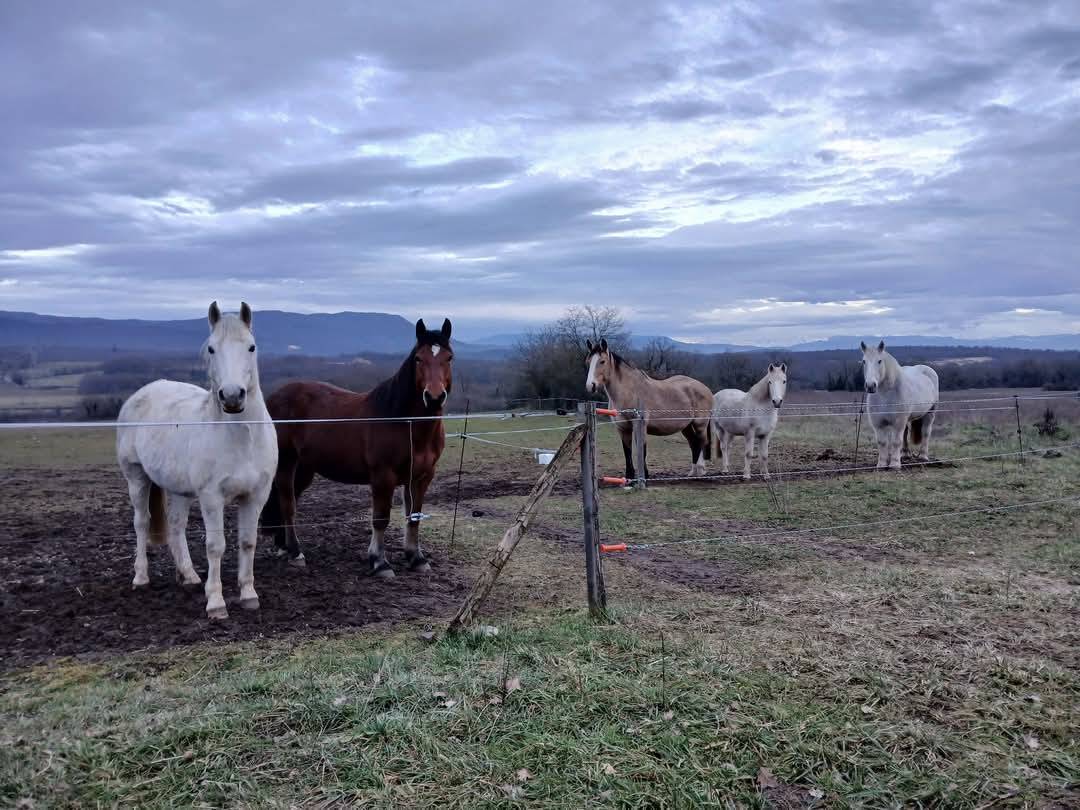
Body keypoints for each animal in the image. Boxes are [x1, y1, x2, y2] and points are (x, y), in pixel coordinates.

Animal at [116, 302, 278, 620]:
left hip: (179, 490)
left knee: (176, 525)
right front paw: (216, 603)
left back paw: (189, 576)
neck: (241, 438)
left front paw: (248, 595)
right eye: (212, 349)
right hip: (136, 478)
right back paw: (141, 578)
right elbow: (216, 546)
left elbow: (247, 542)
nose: (232, 396)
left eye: (251, 347)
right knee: (141, 522)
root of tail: (142, 393)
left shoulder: (255, 496)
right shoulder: (211, 497)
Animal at [261, 318, 452, 577]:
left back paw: (283, 546)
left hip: (304, 468)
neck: (404, 422)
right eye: (418, 359)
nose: (433, 397)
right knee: (287, 503)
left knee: (287, 501)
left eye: (449, 357)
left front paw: (416, 558)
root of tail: (275, 397)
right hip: (286, 463)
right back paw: (295, 552)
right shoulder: (383, 476)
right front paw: (380, 562)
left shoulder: (421, 477)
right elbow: (380, 518)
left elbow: (414, 517)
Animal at [585, 338, 712, 480]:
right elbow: (627, 451)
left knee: (701, 443)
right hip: (686, 426)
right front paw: (630, 477)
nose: (591, 386)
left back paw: (701, 471)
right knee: (694, 444)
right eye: (588, 362)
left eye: (602, 361)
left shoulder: (639, 425)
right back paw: (692, 472)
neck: (630, 391)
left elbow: (642, 450)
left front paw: (644, 476)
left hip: (700, 424)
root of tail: (705, 388)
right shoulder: (622, 428)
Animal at [860, 340, 939, 469]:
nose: (871, 386)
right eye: (864, 361)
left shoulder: (898, 422)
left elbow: (896, 442)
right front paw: (881, 464)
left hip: (930, 413)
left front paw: (895, 464)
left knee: (926, 432)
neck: (885, 395)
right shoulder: (878, 423)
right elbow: (882, 442)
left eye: (879, 361)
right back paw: (905, 454)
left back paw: (923, 456)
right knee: (906, 433)